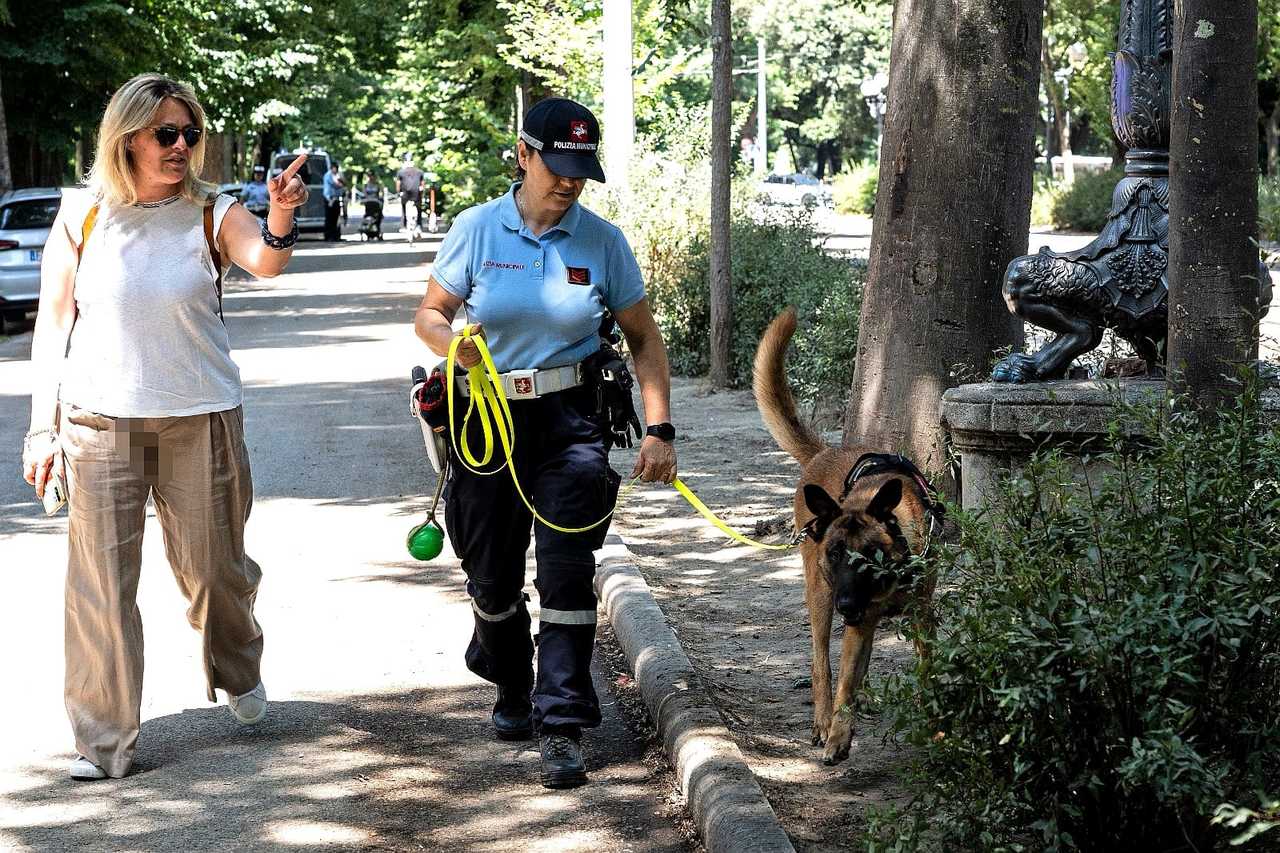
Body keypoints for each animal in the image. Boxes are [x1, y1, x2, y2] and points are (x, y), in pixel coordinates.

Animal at [747, 306, 942, 763]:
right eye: (835, 553)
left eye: (872, 553)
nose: (848, 603)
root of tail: (823, 452)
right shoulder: (854, 617)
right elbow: (844, 683)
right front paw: (838, 734)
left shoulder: (919, 614)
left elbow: (924, 669)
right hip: (819, 596)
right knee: (821, 663)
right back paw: (821, 720)